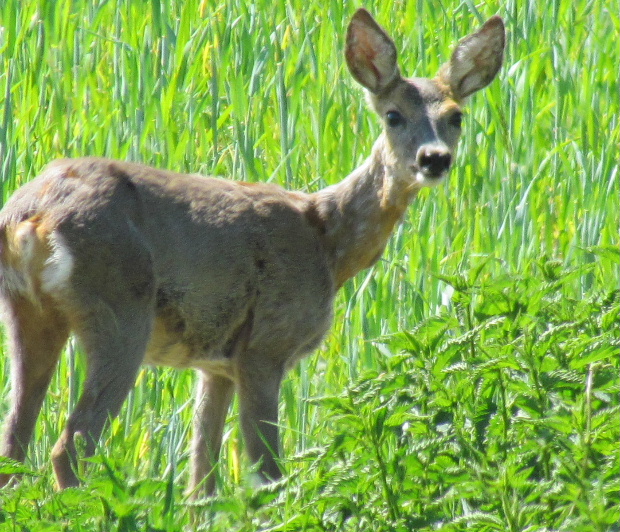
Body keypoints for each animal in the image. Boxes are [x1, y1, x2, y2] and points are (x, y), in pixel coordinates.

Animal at [0, 8, 504, 496]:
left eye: (457, 116)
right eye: (393, 115)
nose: (434, 159)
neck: (327, 242)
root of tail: (32, 216)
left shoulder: (216, 363)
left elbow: (202, 485)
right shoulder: (265, 344)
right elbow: (268, 474)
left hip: (29, 312)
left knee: (14, 444)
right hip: (120, 307)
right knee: (70, 445)